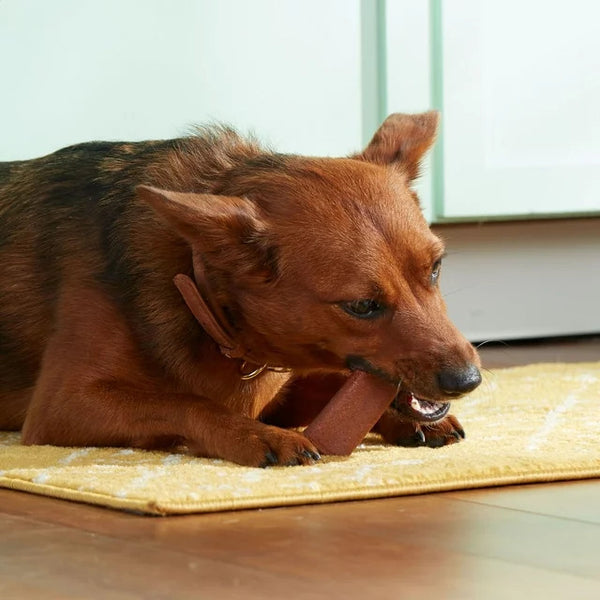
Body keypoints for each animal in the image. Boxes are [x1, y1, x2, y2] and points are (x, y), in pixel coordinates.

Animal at [0, 113, 480, 468]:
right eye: (362, 305)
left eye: (435, 269)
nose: (470, 380)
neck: (194, 288)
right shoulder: (63, 406)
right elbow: (189, 403)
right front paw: (258, 436)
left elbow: (331, 385)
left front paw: (401, 415)